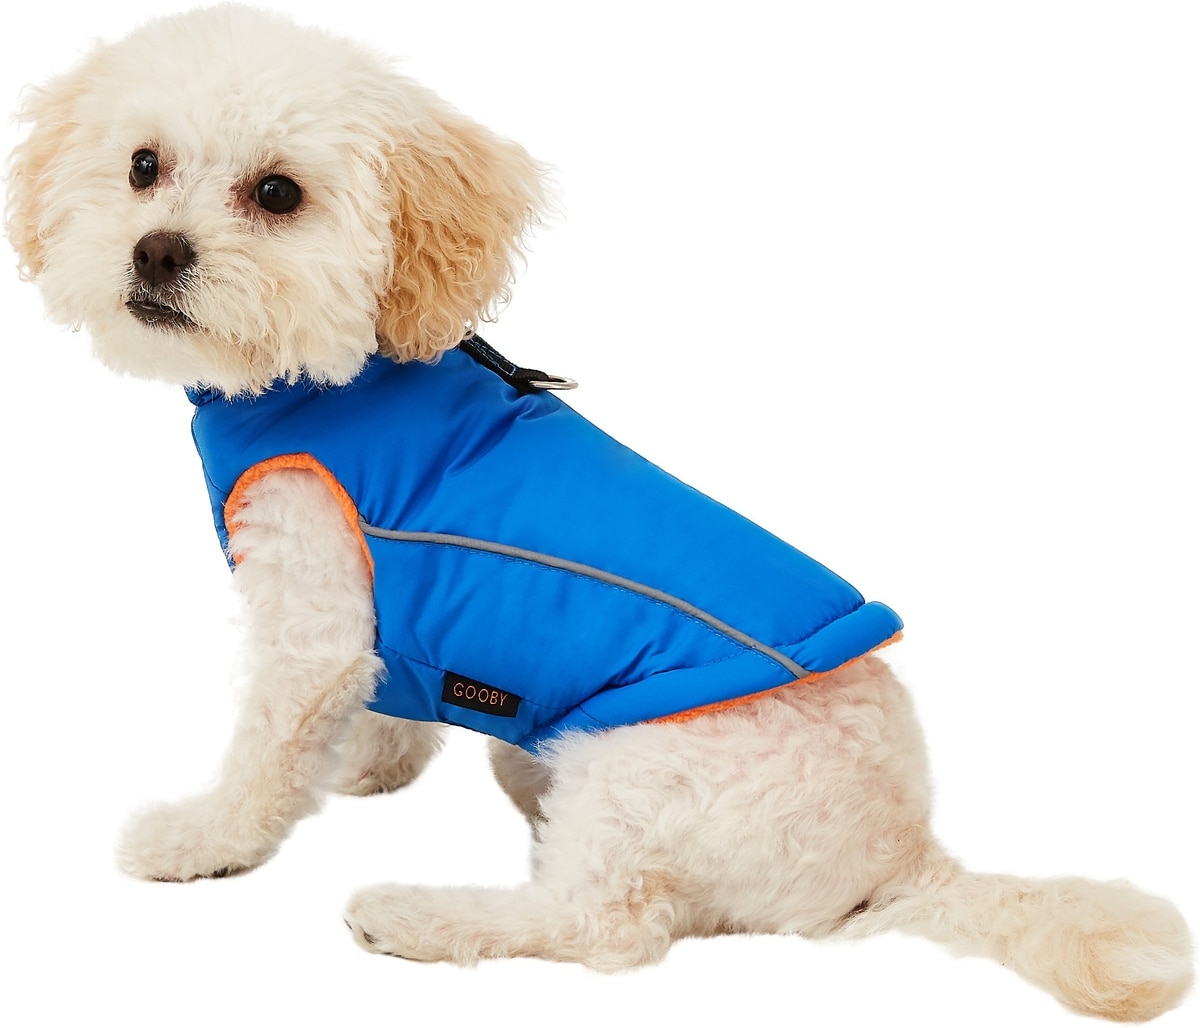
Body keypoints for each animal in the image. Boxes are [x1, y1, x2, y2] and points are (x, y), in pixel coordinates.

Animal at [5, 5, 1193, 1021]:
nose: (156, 250)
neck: (337, 378)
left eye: (278, 193)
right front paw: (370, 765)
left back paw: (422, 914)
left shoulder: (311, 610)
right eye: (143, 166)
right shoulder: (376, 610)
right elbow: (384, 697)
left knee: (610, 926)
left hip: (632, 766)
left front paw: (201, 839)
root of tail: (908, 852)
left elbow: (265, 749)